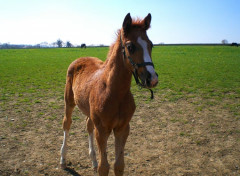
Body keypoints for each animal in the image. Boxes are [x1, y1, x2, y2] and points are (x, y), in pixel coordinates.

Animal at [60, 13, 158, 175]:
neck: (114, 93)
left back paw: (93, 160)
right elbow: (104, 167)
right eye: (130, 47)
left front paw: (98, 162)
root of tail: (80, 59)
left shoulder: (123, 128)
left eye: (151, 45)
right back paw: (62, 160)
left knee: (88, 126)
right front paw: (98, 165)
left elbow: (119, 165)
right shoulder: (102, 130)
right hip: (69, 102)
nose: (152, 79)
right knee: (67, 124)